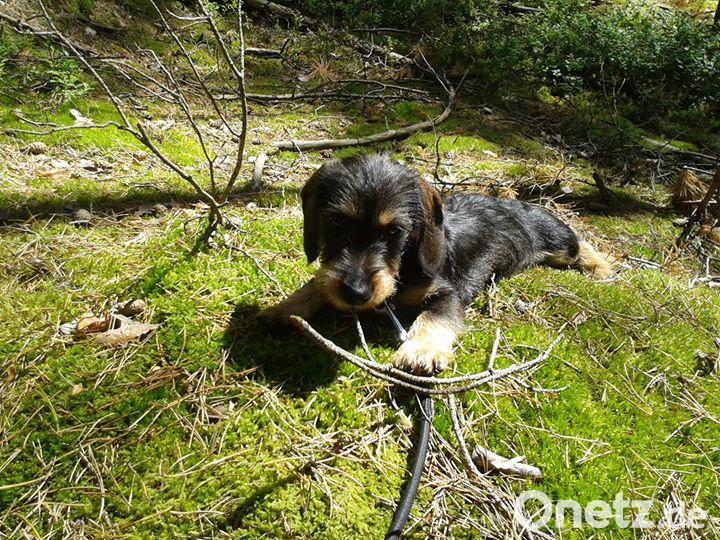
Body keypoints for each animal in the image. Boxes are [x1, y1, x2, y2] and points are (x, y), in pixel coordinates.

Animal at [259, 154, 613, 374]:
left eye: (394, 231)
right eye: (335, 223)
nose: (355, 294)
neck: (404, 269)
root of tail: (524, 205)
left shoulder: (447, 294)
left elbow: (434, 316)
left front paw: (422, 350)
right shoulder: (332, 276)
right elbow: (318, 284)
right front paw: (283, 309)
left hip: (557, 241)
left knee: (579, 243)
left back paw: (602, 267)